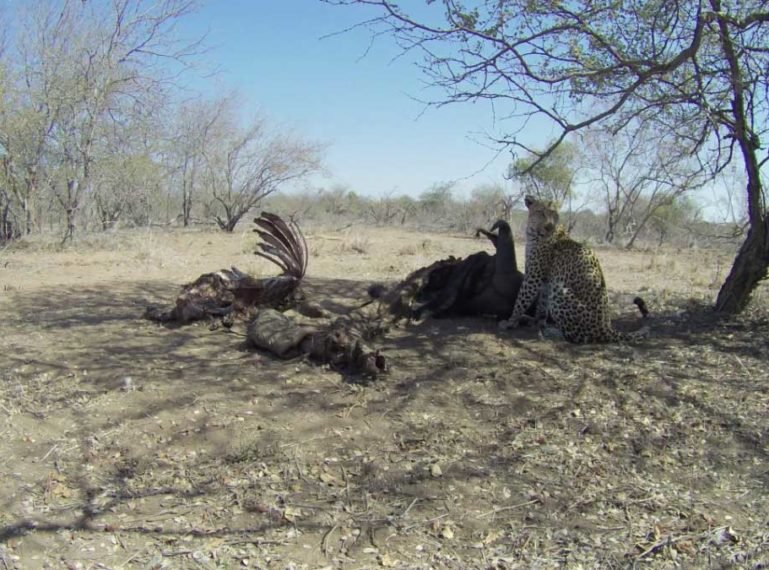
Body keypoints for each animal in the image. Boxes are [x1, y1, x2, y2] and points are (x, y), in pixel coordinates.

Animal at [498, 193, 648, 344]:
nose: (549, 227)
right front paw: (537, 322)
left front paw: (510, 321)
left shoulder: (534, 276)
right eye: (541, 212)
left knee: (579, 336)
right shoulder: (545, 280)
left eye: (554, 214)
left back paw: (554, 332)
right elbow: (542, 304)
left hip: (560, 291)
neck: (534, 233)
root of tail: (607, 329)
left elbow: (521, 299)